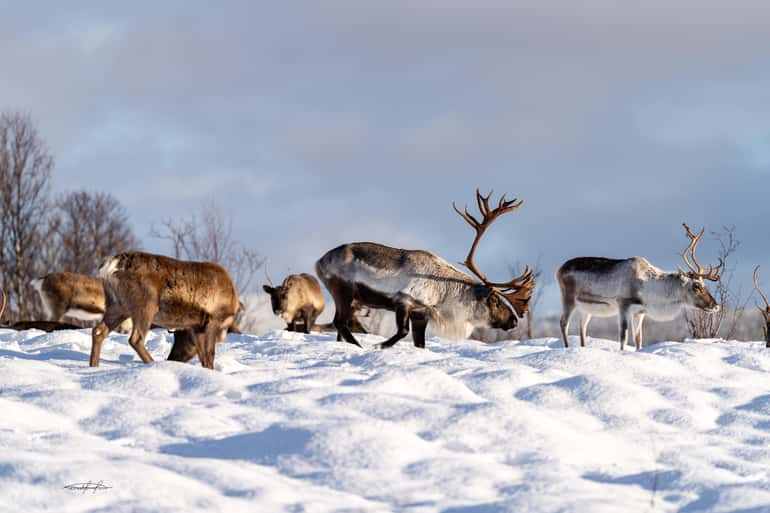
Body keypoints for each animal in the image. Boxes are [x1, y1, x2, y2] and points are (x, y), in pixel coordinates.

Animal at [91, 252, 240, 370]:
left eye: (180, 337)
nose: (172, 358)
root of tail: (111, 266)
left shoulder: (197, 326)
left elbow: (204, 357)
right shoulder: (213, 319)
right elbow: (209, 355)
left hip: (117, 306)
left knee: (98, 331)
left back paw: (94, 366)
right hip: (146, 304)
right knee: (136, 339)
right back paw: (153, 363)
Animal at [315, 189, 535, 349]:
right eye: (495, 301)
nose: (514, 321)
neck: (444, 291)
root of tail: (319, 261)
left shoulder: (421, 313)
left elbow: (419, 343)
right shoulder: (404, 301)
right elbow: (402, 332)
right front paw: (380, 346)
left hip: (353, 300)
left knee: (340, 325)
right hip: (343, 291)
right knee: (340, 322)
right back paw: (358, 346)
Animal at [557, 223, 723, 350]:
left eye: (704, 284)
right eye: (696, 286)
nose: (716, 306)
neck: (648, 287)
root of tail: (559, 269)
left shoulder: (640, 312)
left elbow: (638, 339)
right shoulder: (623, 305)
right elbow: (623, 336)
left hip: (586, 308)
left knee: (582, 327)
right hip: (568, 299)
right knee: (564, 323)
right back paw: (566, 348)